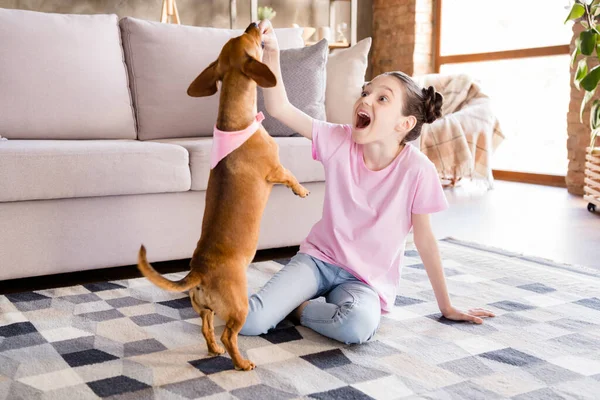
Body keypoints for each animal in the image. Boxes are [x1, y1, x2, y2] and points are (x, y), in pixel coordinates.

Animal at [137, 23, 310, 370]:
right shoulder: (276, 169)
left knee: (206, 327)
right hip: (240, 307)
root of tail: (200, 272)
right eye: (252, 39)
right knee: (231, 335)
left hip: (204, 308)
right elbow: (290, 176)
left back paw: (213, 349)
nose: (253, 24)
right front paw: (301, 189)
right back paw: (241, 363)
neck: (236, 121)